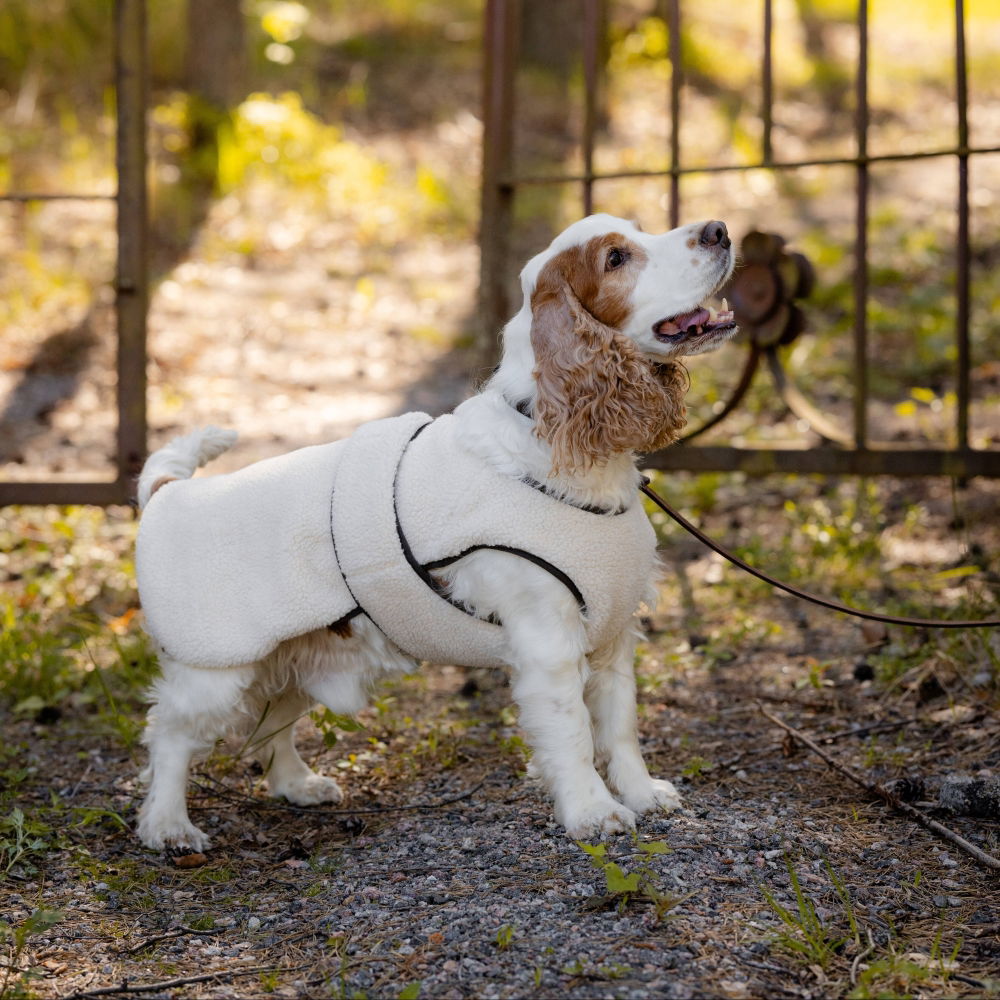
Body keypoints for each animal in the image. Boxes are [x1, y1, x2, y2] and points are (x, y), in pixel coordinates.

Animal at [133, 215, 740, 848]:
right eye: (616, 258)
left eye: (640, 230)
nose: (719, 230)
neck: (559, 444)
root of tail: (169, 492)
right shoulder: (548, 640)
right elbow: (573, 733)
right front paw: (593, 812)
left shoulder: (614, 636)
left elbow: (621, 727)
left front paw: (643, 794)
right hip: (216, 672)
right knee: (169, 734)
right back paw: (169, 825)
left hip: (297, 656)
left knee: (271, 724)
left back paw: (298, 785)